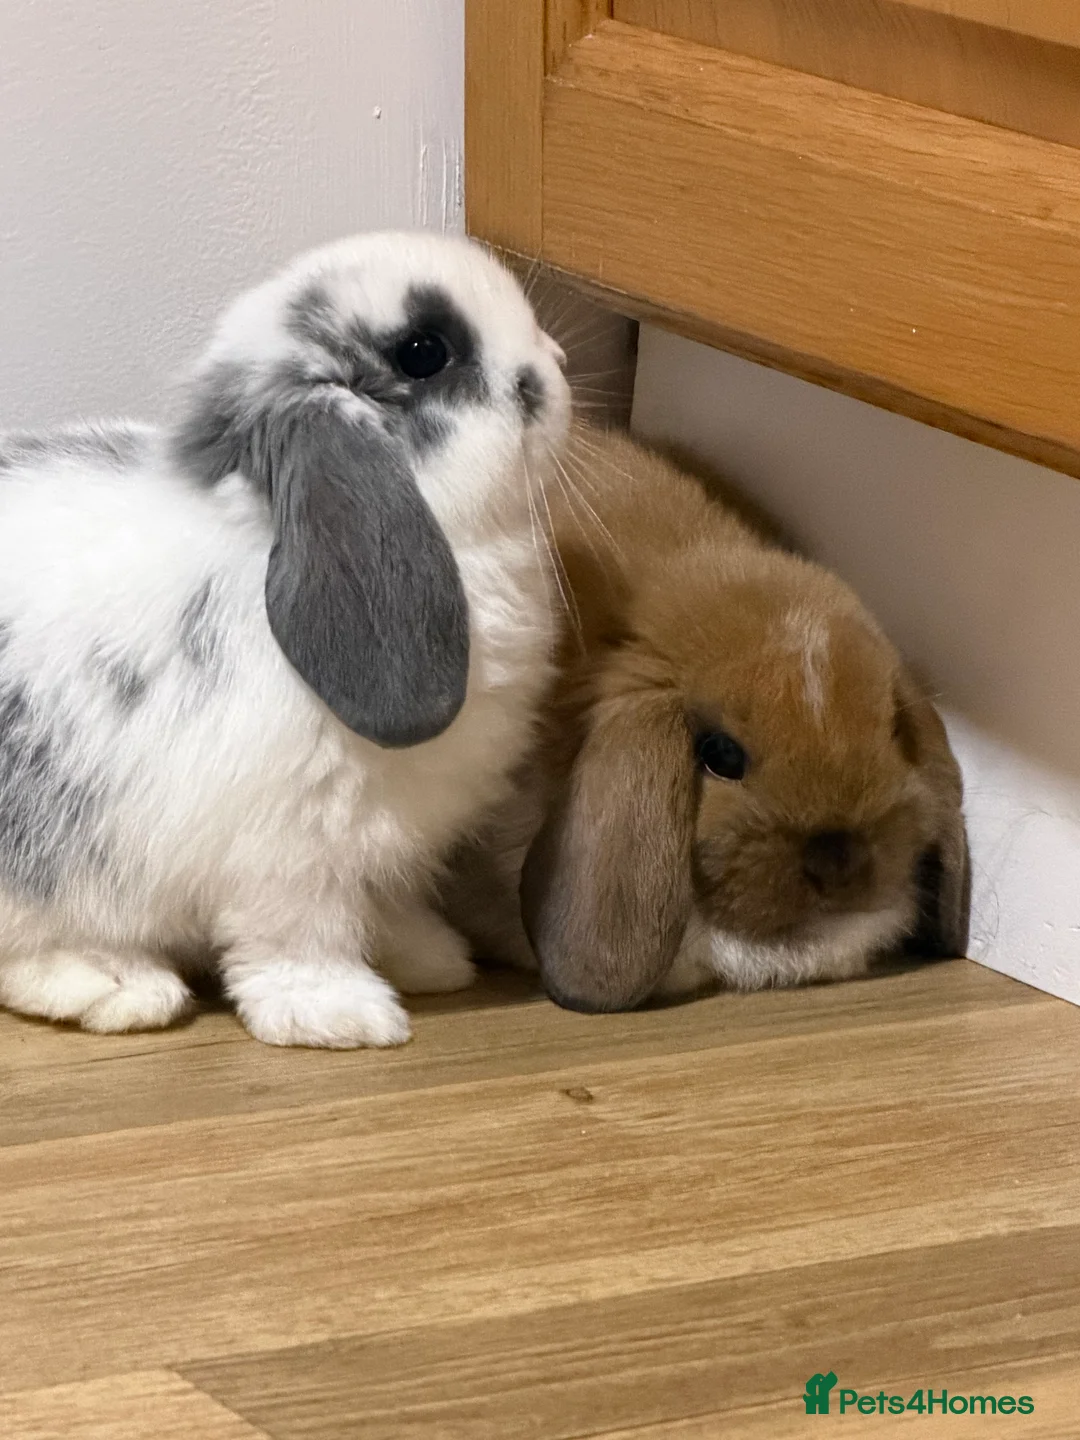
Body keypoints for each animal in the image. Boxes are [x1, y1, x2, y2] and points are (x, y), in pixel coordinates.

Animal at [0, 231, 571, 1046]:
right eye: (424, 352)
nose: (554, 367)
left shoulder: (382, 842)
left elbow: (384, 906)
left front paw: (431, 960)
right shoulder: (290, 849)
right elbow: (300, 935)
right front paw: (343, 1015)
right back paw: (118, 985)